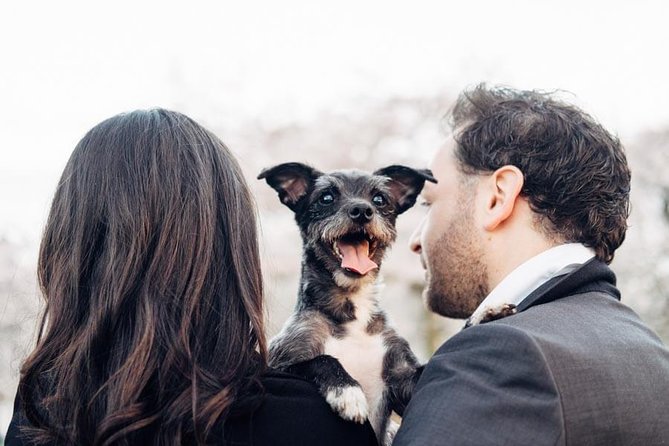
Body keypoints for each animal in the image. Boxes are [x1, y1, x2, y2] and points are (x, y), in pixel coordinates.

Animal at [256, 163, 434, 442]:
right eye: (326, 197)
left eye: (379, 199)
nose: (362, 210)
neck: (352, 314)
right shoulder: (281, 361)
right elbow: (320, 360)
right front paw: (347, 391)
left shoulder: (402, 380)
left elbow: (423, 372)